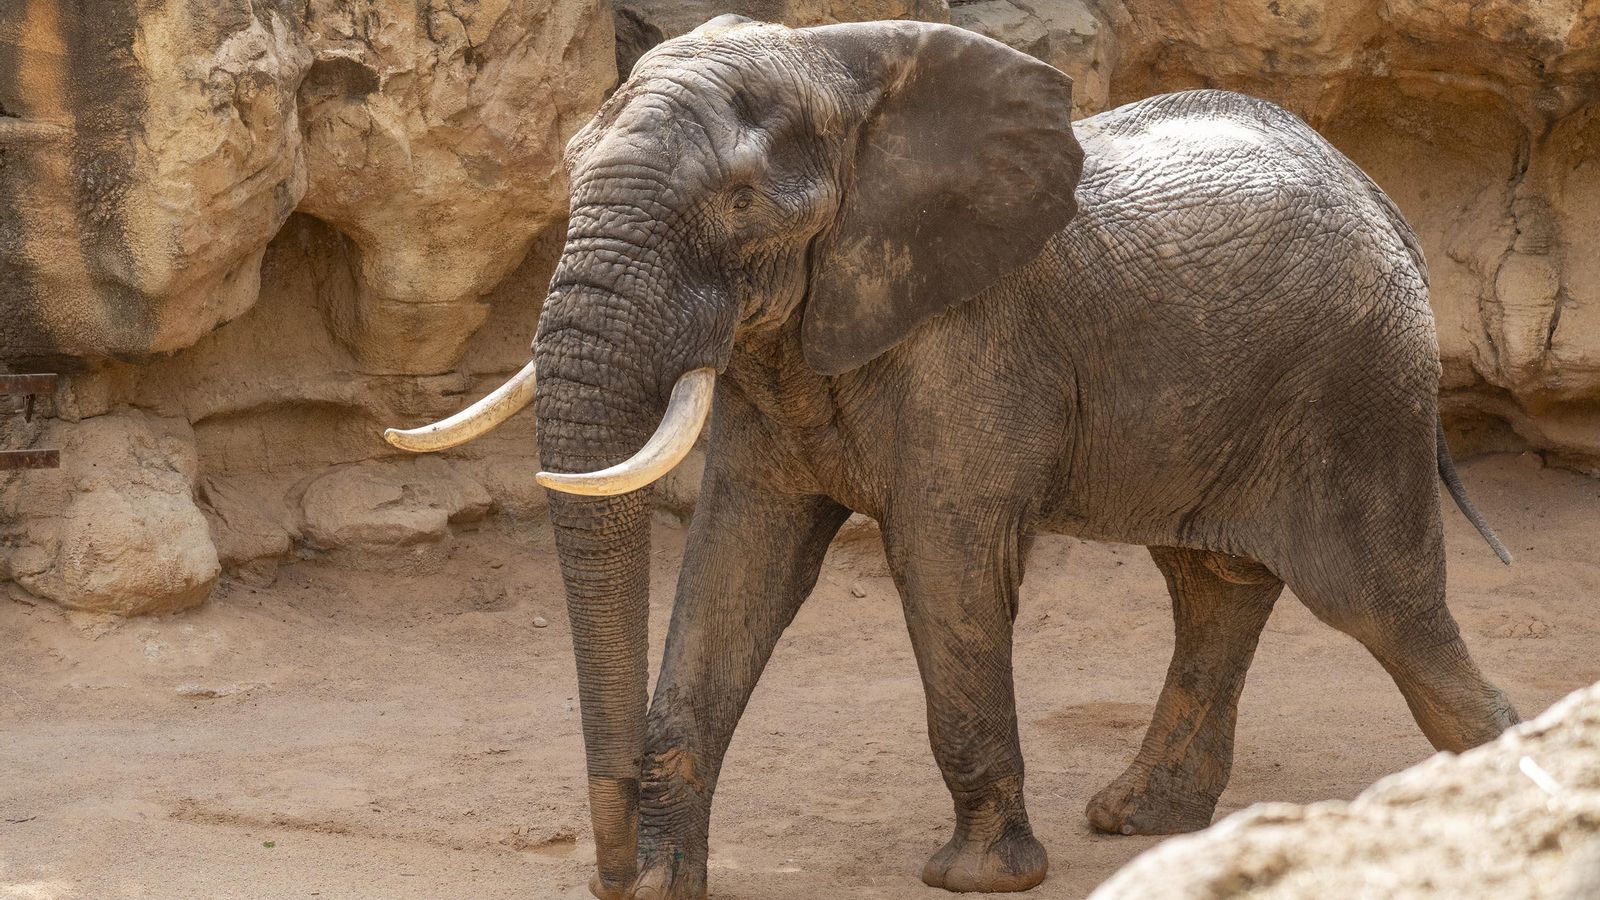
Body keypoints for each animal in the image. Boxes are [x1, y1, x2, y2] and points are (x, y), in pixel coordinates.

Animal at [383, 16, 1520, 899]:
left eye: (738, 205)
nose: (607, 876)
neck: (834, 66)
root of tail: (1385, 202)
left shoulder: (972, 342)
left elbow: (943, 558)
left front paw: (979, 878)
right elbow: (740, 557)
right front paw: (667, 881)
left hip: (1358, 388)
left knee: (1384, 602)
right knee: (1213, 584)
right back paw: (1139, 818)